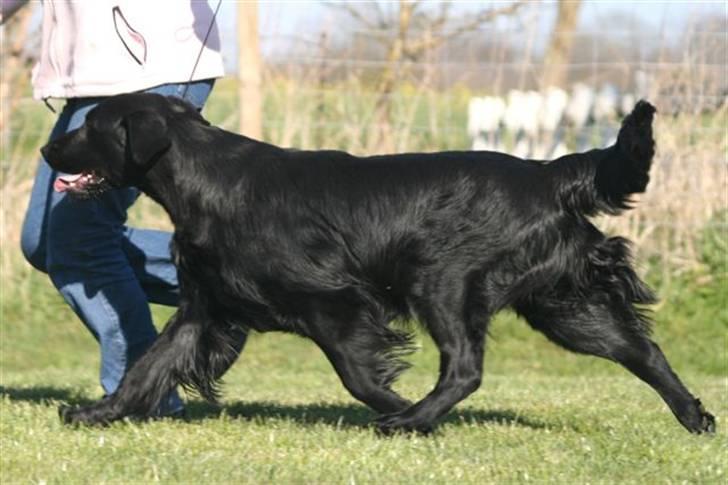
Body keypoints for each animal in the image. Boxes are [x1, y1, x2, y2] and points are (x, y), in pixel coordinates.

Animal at [41, 92, 716, 432]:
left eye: (89, 124)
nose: (47, 150)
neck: (210, 180)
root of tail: (545, 174)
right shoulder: (203, 308)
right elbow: (146, 366)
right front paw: (98, 412)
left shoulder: (336, 302)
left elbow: (357, 375)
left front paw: (397, 408)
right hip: (563, 305)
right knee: (643, 351)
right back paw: (696, 417)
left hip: (441, 280)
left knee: (466, 368)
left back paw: (412, 421)